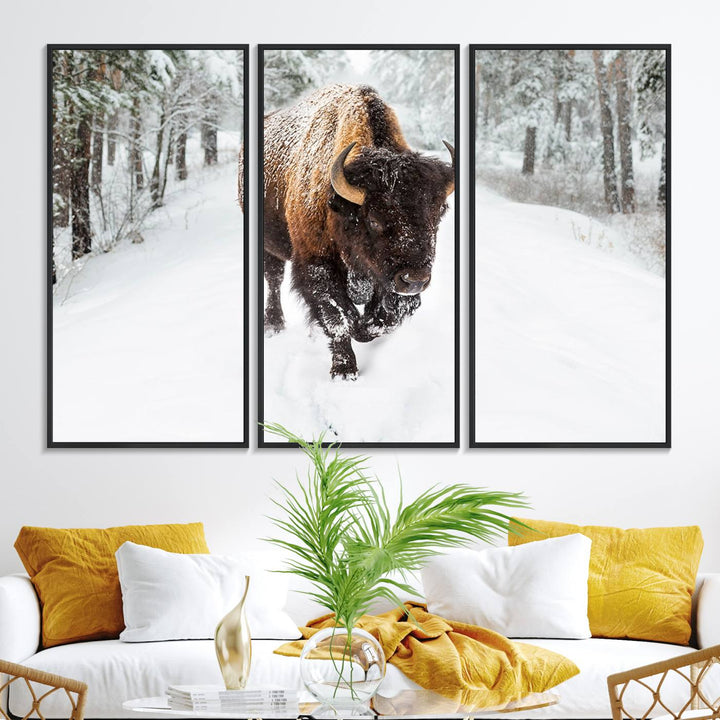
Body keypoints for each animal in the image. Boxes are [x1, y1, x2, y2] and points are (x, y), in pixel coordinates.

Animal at [258, 83, 452, 380]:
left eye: (439, 213)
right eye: (373, 220)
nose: (415, 280)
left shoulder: (386, 280)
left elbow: (384, 318)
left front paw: (364, 329)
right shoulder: (317, 265)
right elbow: (337, 318)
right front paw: (344, 370)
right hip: (269, 245)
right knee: (273, 278)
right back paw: (273, 324)